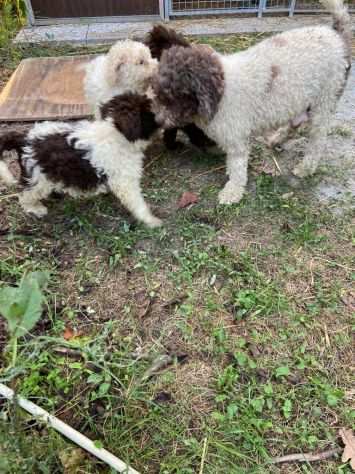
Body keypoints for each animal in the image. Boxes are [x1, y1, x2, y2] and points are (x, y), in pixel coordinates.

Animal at [0, 94, 163, 228]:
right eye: (151, 115)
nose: (163, 120)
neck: (116, 133)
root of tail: (24, 138)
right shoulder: (125, 181)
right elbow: (137, 203)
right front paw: (151, 220)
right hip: (38, 178)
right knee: (25, 195)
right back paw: (35, 208)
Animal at [154, 0, 354, 203]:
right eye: (159, 94)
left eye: (174, 96)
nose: (158, 121)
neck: (221, 91)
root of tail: (337, 34)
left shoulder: (236, 139)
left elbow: (237, 167)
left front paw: (232, 192)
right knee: (296, 122)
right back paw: (277, 139)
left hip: (326, 99)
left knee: (317, 140)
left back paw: (306, 167)